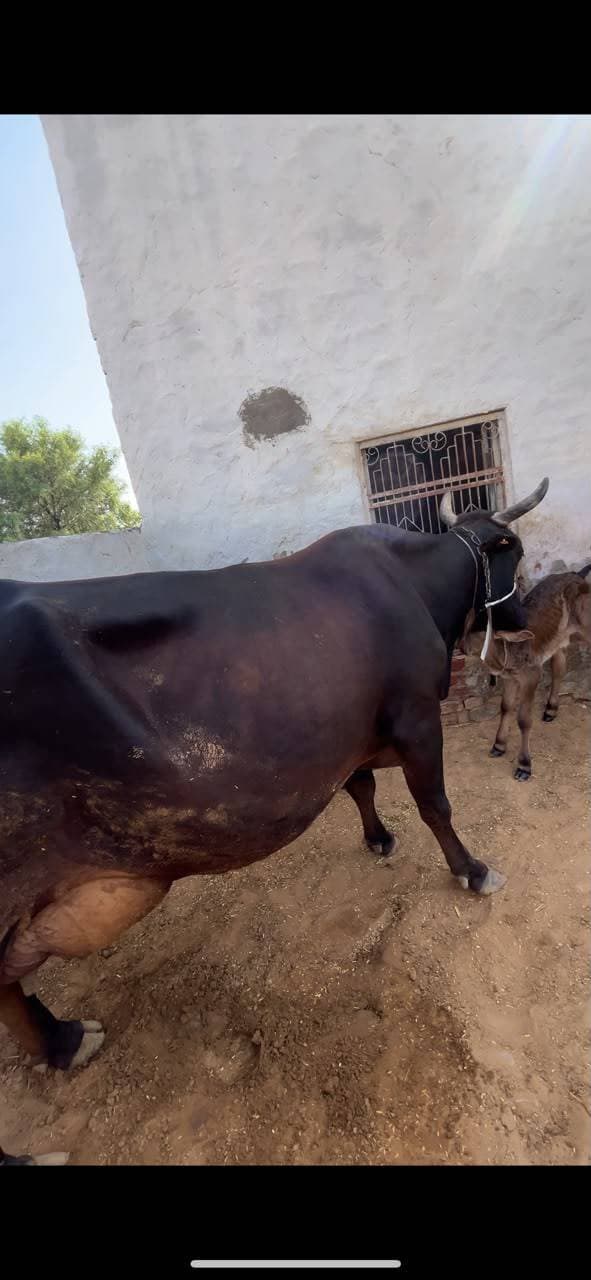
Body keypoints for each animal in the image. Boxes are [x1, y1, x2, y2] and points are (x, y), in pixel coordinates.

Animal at [0, 477, 548, 1164]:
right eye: (514, 548)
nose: (525, 618)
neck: (411, 582)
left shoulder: (349, 733)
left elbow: (363, 786)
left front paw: (378, 838)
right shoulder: (419, 716)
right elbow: (436, 804)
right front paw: (472, 870)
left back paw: (65, 1040)